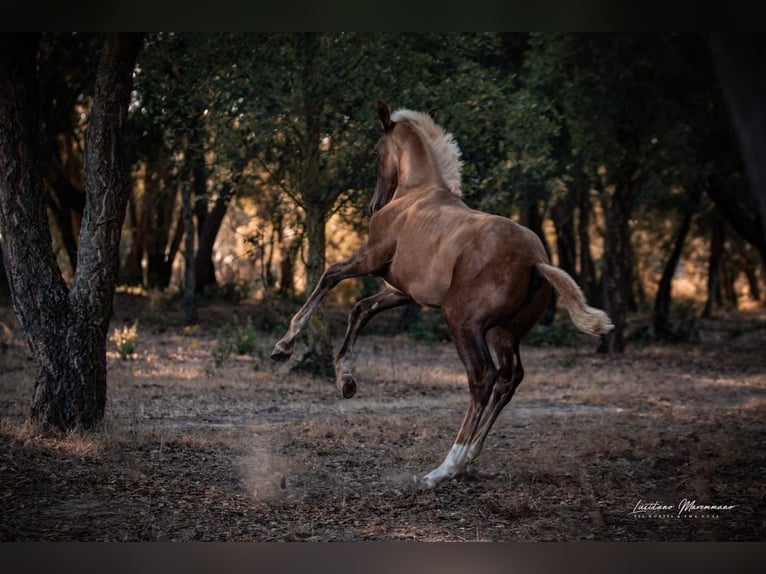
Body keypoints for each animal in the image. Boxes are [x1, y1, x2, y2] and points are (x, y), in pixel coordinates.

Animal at [272, 100, 616, 490]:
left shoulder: (370, 259)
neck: (415, 193)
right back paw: (468, 458)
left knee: (483, 378)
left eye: (375, 151)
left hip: (463, 322)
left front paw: (283, 346)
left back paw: (443, 469)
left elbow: (328, 277)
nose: (374, 206)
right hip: (504, 333)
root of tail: (536, 261)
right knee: (509, 380)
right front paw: (345, 380)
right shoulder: (403, 292)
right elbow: (360, 310)